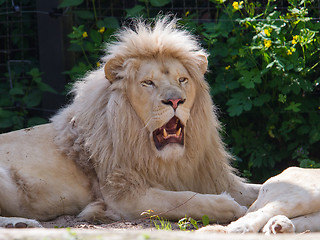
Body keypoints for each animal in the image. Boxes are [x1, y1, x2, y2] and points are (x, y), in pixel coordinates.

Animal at [0, 17, 262, 229]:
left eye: (182, 79)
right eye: (148, 83)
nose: (175, 100)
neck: (170, 161)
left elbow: (262, 185)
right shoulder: (124, 196)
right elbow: (184, 200)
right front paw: (230, 206)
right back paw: (20, 223)